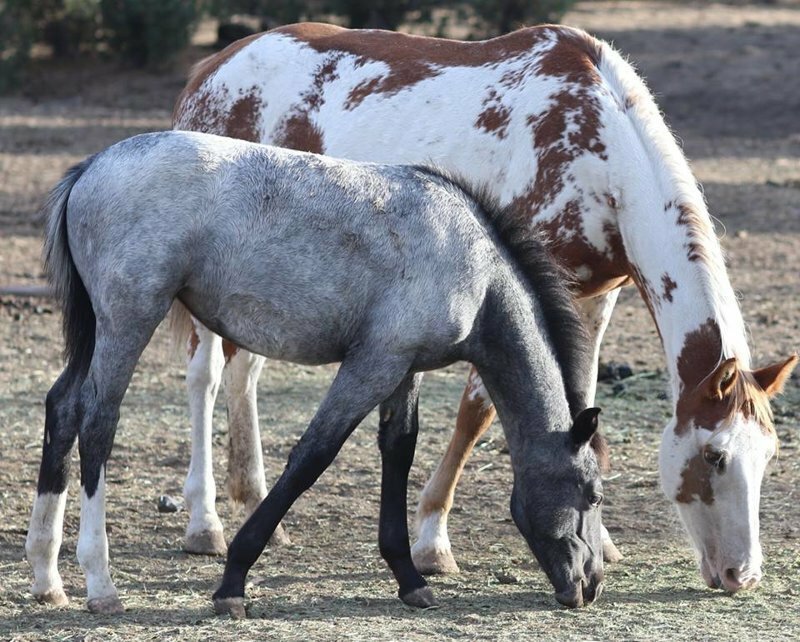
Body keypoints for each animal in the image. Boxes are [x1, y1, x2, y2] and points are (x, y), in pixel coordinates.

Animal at [29, 130, 608, 616]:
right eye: (593, 494)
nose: (592, 583)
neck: (474, 266)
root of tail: (93, 167)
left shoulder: (403, 368)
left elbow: (398, 450)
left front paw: (410, 579)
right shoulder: (371, 366)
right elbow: (312, 456)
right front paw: (232, 582)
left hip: (97, 332)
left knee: (62, 409)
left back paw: (46, 575)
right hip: (129, 322)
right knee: (97, 423)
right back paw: (100, 583)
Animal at [172, 23, 796, 592]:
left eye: (768, 457)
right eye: (713, 456)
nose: (742, 574)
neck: (598, 148)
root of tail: (213, 68)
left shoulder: (595, 298)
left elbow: (581, 400)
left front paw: (601, 538)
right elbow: (477, 411)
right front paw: (431, 542)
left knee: (245, 374)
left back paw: (255, 502)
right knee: (205, 379)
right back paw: (205, 524)